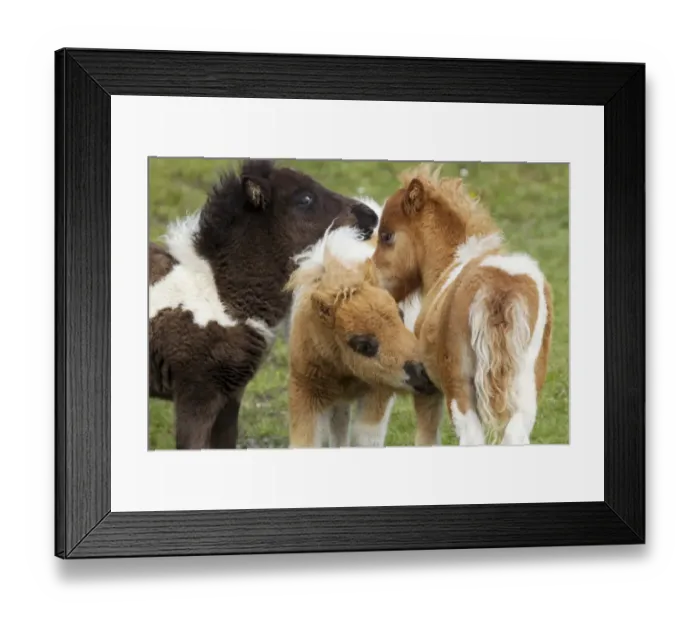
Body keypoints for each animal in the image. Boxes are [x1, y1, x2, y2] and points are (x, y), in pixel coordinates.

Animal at [283, 224, 437, 449]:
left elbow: (365, 439)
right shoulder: (306, 390)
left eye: (400, 314)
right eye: (363, 345)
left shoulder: (379, 390)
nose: (424, 372)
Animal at [371, 165, 553, 446]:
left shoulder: (427, 389)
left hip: (460, 391)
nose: (375, 284)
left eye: (387, 236)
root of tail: (499, 288)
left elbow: (426, 439)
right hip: (526, 391)